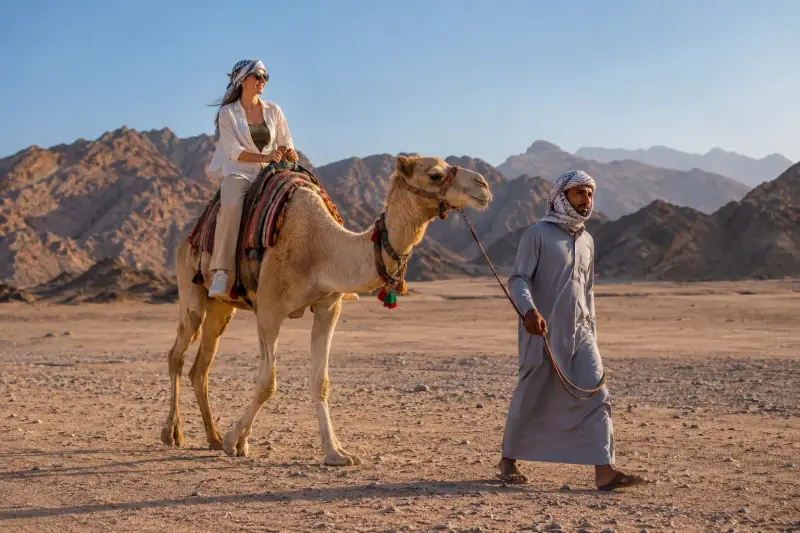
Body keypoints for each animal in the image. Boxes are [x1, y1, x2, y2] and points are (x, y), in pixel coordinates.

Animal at [160, 154, 492, 466]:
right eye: (434, 174)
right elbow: (268, 383)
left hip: (221, 309)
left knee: (200, 368)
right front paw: (234, 440)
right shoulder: (269, 309)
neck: (320, 248)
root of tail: (189, 235)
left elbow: (321, 383)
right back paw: (173, 434)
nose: (483, 186)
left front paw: (336, 452)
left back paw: (213, 437)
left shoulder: (328, 307)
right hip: (191, 289)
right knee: (177, 353)